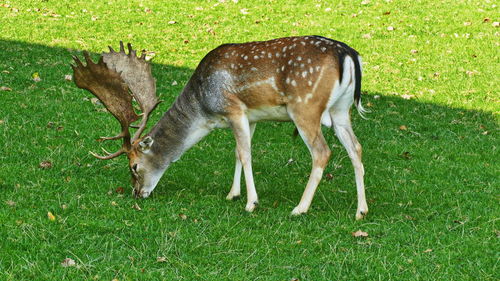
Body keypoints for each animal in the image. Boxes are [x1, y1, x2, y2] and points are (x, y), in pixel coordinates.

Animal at [70, 35, 368, 219]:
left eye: (134, 166)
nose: (136, 192)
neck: (205, 112)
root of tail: (348, 54)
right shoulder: (251, 117)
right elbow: (237, 152)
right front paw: (232, 194)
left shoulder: (233, 108)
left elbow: (246, 155)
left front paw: (251, 203)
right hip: (341, 110)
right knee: (356, 147)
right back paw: (361, 211)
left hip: (304, 107)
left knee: (322, 152)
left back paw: (300, 208)